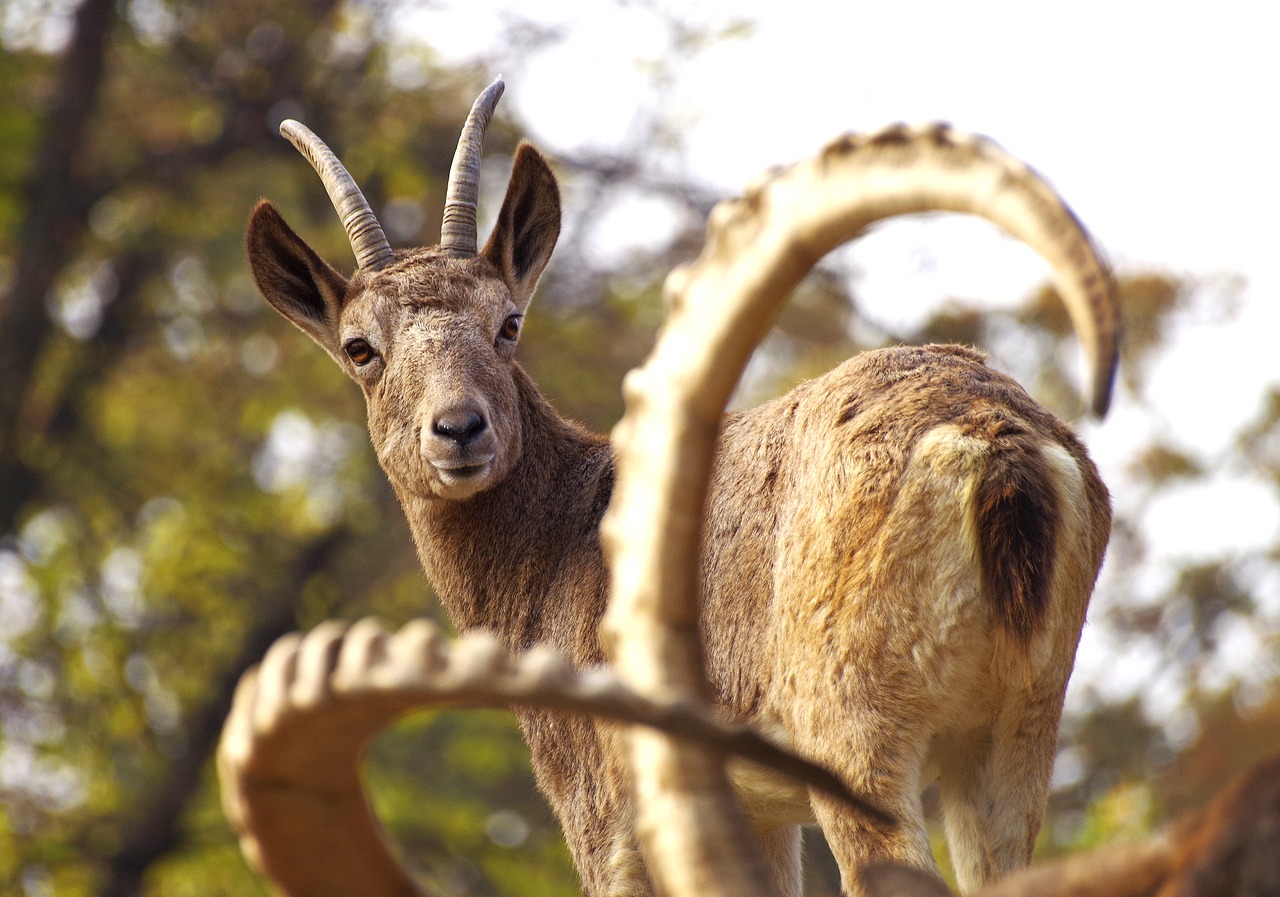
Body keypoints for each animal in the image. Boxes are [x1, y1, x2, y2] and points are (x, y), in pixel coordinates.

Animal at [241, 78, 1121, 895]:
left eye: (508, 322)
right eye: (360, 347)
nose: (459, 429)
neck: (552, 545)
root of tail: (997, 443)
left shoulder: (602, 805)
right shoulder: (763, 815)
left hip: (855, 734)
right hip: (1015, 734)